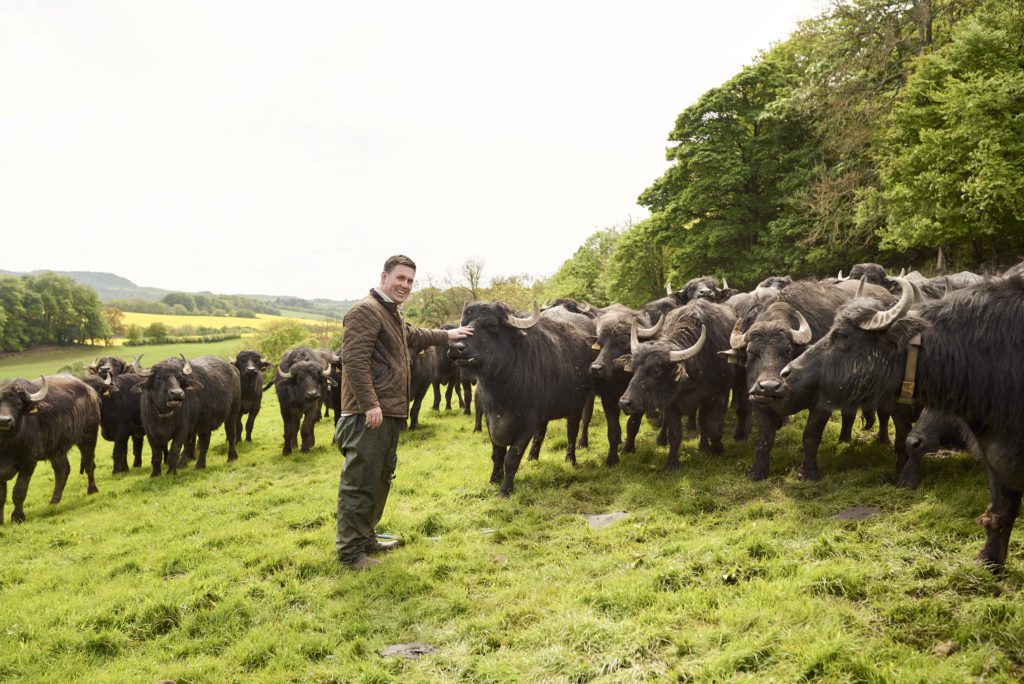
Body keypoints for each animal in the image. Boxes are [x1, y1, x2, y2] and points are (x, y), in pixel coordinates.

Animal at [0, 376, 99, 520]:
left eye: (18, 404)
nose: (4, 421)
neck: (6, 444)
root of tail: (90, 390)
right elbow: (1, 496)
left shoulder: (29, 462)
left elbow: (19, 491)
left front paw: (17, 517)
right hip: (57, 449)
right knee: (62, 471)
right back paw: (53, 502)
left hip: (89, 437)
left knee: (88, 464)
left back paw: (92, 490)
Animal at [448, 301, 593, 493]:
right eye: (464, 323)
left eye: (491, 324)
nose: (455, 348)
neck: (503, 389)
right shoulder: (490, 419)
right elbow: (497, 454)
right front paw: (494, 479)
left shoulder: (527, 423)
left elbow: (512, 457)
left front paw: (505, 489)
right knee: (541, 432)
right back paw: (533, 457)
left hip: (576, 404)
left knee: (572, 432)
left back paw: (570, 459)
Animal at [614, 298, 745, 471]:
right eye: (633, 368)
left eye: (656, 371)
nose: (624, 402)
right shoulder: (671, 401)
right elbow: (675, 433)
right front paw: (672, 463)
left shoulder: (719, 395)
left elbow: (714, 427)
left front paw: (717, 449)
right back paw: (661, 439)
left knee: (703, 422)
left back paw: (704, 446)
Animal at [724, 278, 901, 481]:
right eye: (751, 353)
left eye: (787, 350)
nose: (769, 387)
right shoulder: (759, 401)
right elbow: (764, 438)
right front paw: (758, 471)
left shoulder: (821, 403)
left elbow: (811, 436)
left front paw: (807, 473)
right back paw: (844, 438)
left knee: (884, 413)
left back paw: (883, 439)